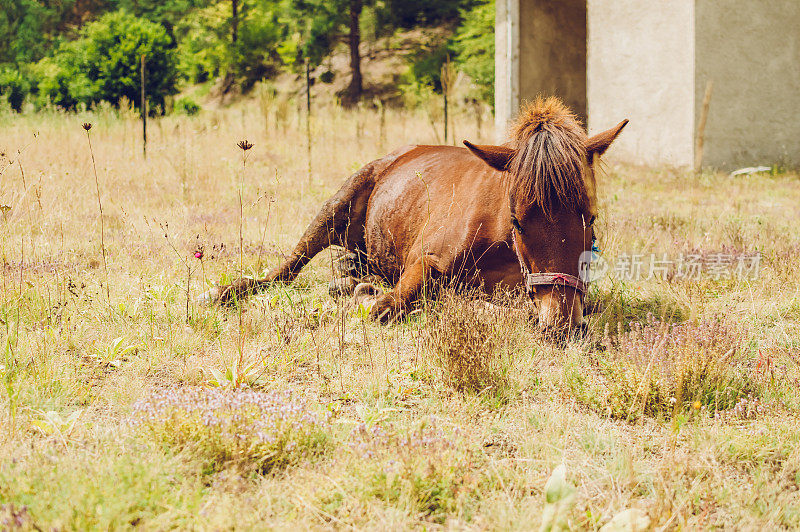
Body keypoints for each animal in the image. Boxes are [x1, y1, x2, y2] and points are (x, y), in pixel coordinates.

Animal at [200, 95, 624, 328]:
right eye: (518, 221)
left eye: (590, 218)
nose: (561, 323)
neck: (499, 236)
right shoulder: (424, 259)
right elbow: (390, 304)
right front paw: (369, 299)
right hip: (335, 208)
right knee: (286, 269)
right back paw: (228, 291)